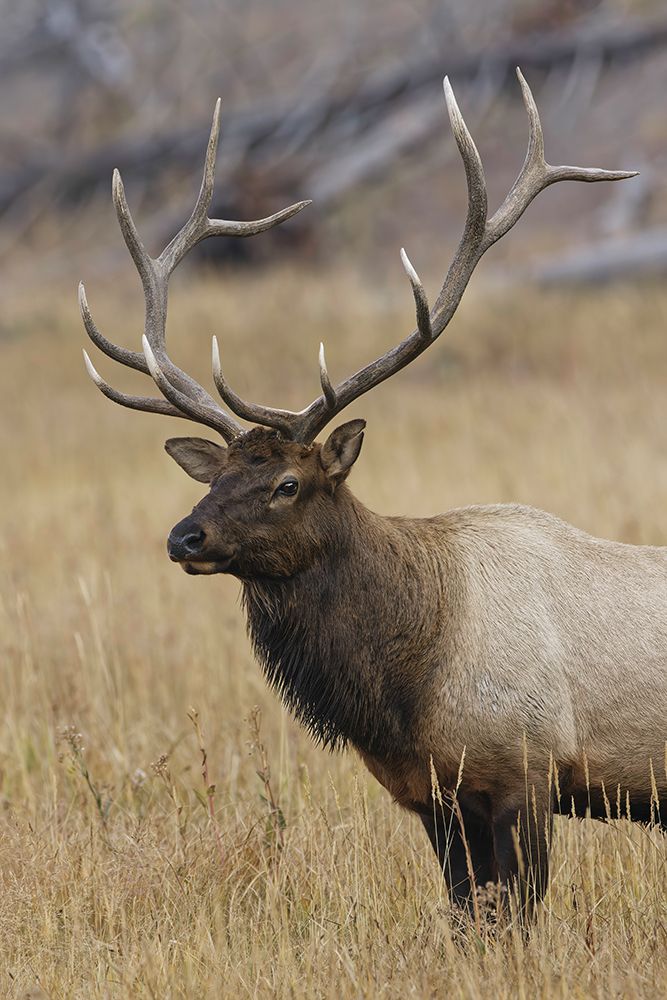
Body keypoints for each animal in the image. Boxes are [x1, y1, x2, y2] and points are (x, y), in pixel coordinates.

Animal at [80, 70, 666, 920]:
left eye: (287, 483)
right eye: (216, 477)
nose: (183, 537)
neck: (406, 688)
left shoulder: (526, 769)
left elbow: (519, 915)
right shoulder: (432, 796)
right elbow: (467, 917)